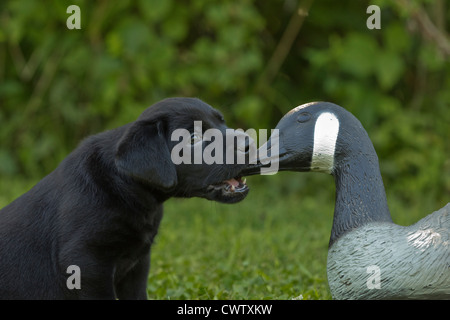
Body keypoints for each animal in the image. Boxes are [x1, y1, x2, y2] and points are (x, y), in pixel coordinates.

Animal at [0, 97, 251, 300]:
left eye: (222, 122)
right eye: (193, 138)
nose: (249, 143)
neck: (126, 188)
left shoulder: (137, 265)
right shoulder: (86, 262)